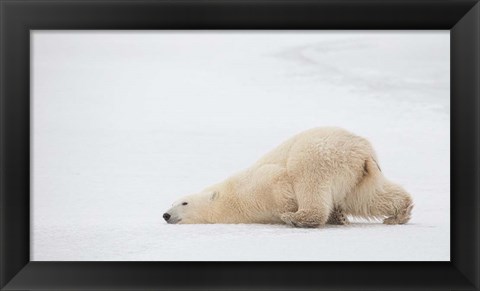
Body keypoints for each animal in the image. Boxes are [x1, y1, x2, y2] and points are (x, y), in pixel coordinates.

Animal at [162, 128, 412, 228]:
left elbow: (279, 181)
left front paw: (290, 208)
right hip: (357, 176)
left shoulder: (258, 185)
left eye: (183, 202)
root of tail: (361, 149)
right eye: (171, 202)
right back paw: (399, 214)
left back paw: (297, 218)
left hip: (319, 155)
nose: (165, 214)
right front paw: (339, 216)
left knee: (309, 181)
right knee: (367, 197)